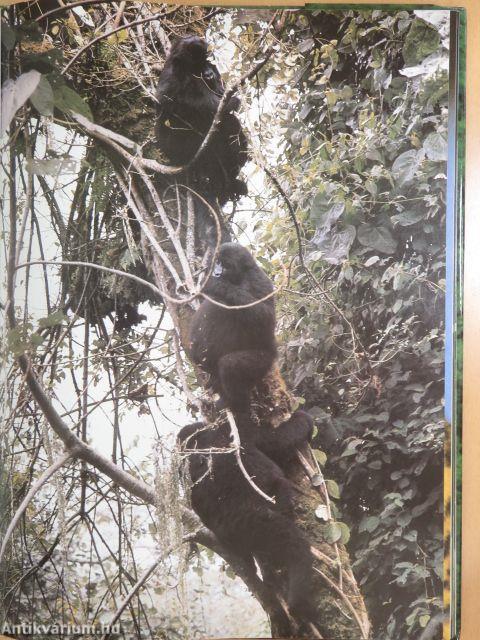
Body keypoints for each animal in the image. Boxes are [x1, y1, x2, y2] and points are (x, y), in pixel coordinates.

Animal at [156, 35, 248, 205]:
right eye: (196, 65)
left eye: (206, 61)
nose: (208, 72)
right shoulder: (175, 76)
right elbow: (173, 100)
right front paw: (230, 103)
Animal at [188, 242, 278, 412]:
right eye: (217, 262)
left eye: (226, 265)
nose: (216, 273)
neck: (240, 275)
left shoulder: (258, 279)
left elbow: (265, 318)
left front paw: (216, 285)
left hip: (265, 361)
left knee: (229, 364)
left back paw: (233, 401)